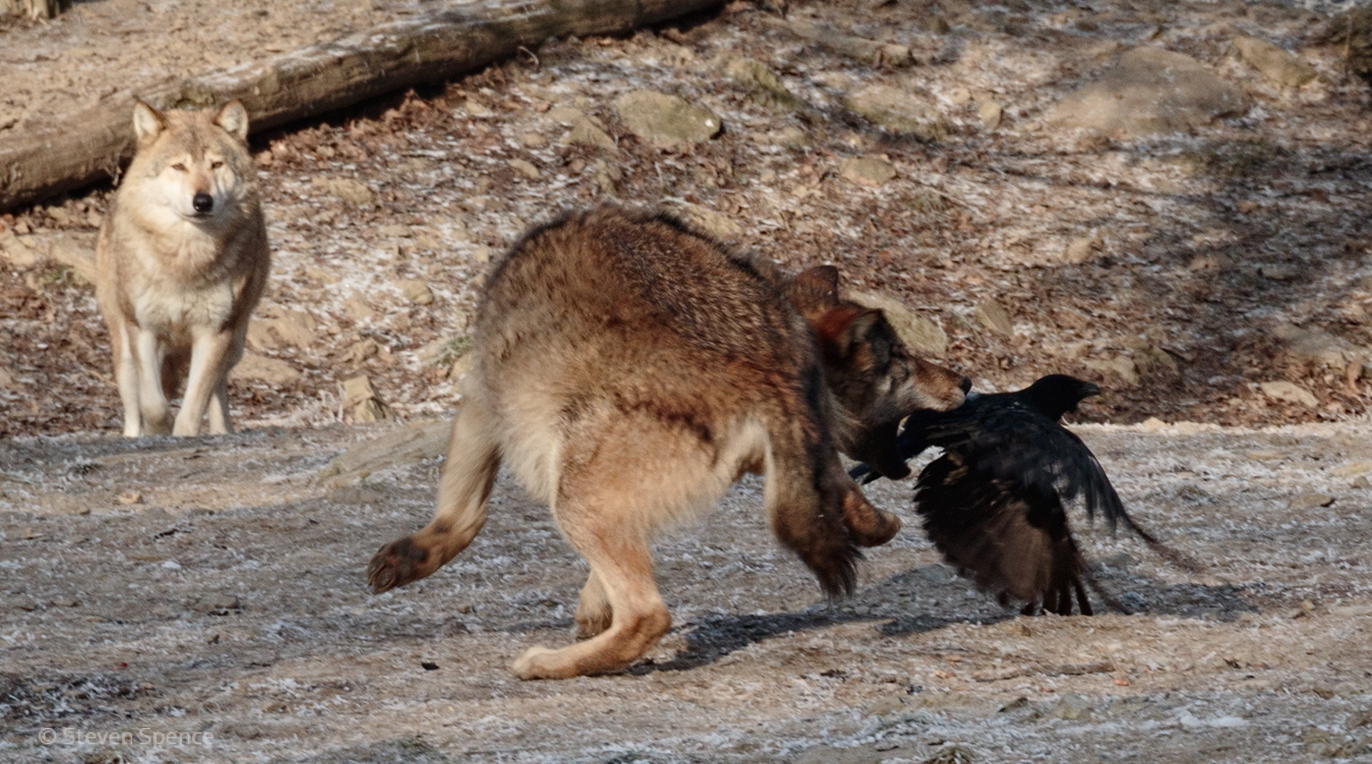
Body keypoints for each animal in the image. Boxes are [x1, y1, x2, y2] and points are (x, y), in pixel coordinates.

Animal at [95, 99, 270, 437]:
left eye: (216, 165)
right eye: (179, 167)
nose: (202, 201)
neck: (186, 259)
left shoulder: (215, 333)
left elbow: (191, 413)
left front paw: (182, 437)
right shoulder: (144, 329)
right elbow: (153, 405)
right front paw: (158, 433)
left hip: (234, 345)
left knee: (217, 391)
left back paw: (222, 433)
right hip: (124, 353)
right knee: (132, 409)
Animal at [367, 207, 967, 679]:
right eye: (902, 359)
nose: (963, 381)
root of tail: (758, 370)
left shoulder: (481, 397)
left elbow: (460, 512)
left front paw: (408, 559)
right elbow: (845, 490)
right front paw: (876, 524)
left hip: (573, 500)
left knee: (649, 616)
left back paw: (545, 664)